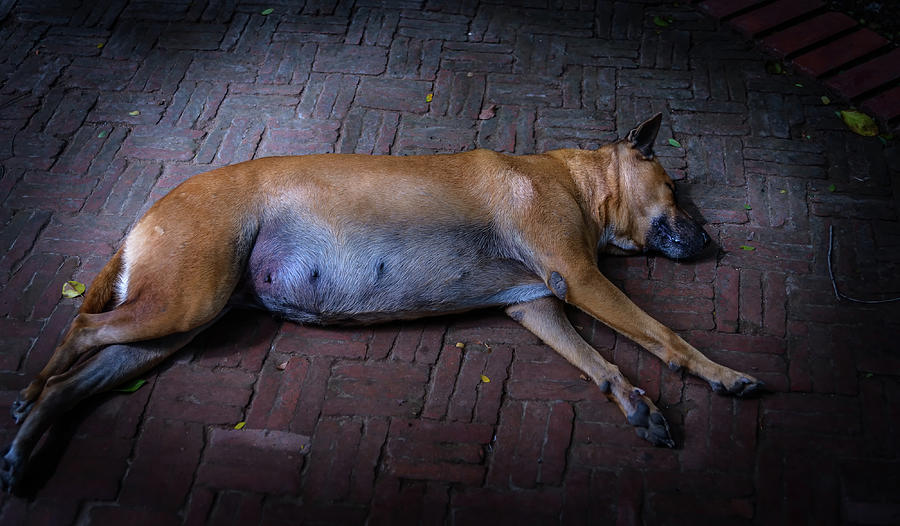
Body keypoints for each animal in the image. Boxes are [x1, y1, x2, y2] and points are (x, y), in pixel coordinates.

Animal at [0, 113, 764, 492]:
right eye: (677, 192)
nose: (712, 240)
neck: (575, 181)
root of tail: (146, 212)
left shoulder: (538, 305)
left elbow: (601, 364)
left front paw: (635, 402)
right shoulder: (578, 279)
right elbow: (664, 335)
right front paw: (723, 374)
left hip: (168, 330)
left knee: (79, 376)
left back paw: (25, 445)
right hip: (183, 302)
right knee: (80, 328)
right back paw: (29, 396)